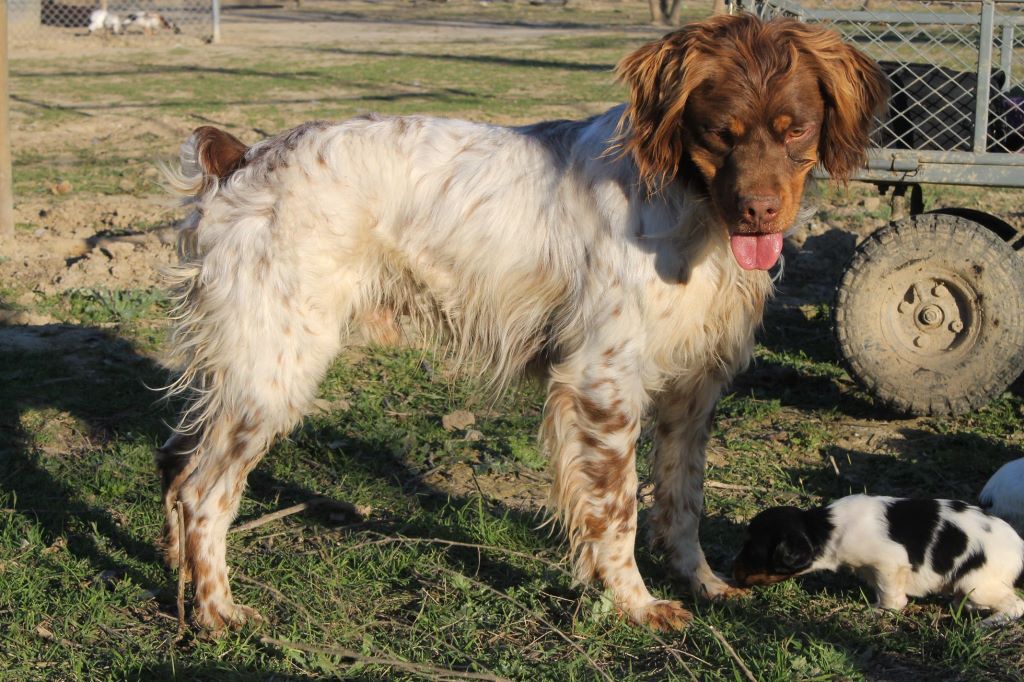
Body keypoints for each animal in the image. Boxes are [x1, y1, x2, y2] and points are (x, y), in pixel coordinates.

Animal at [159, 14, 888, 630]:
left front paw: (703, 584)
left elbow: (682, 502)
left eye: (796, 130)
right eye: (718, 133)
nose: (759, 212)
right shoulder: (602, 383)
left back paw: (180, 582)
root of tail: (244, 156)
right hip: (274, 368)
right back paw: (217, 611)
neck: (691, 205)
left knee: (174, 463)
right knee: (203, 492)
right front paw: (635, 603)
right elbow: (619, 512)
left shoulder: (693, 388)